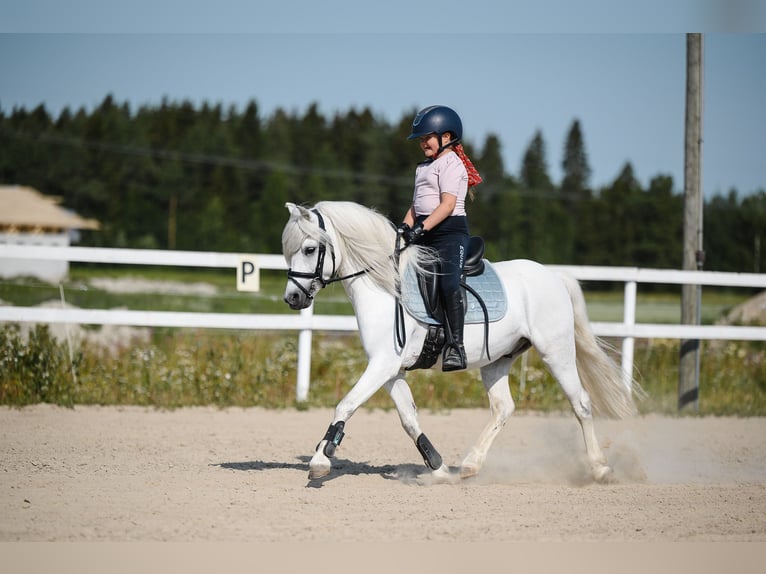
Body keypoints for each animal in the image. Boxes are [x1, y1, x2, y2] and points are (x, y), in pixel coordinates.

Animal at [281, 200, 637, 483]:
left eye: (310, 249)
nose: (292, 298)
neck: (385, 287)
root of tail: (554, 276)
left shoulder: (382, 364)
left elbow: (347, 403)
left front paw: (320, 459)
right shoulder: (391, 370)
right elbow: (408, 418)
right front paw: (438, 468)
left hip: (556, 352)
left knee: (581, 404)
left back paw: (601, 469)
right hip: (497, 360)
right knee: (503, 408)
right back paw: (468, 466)